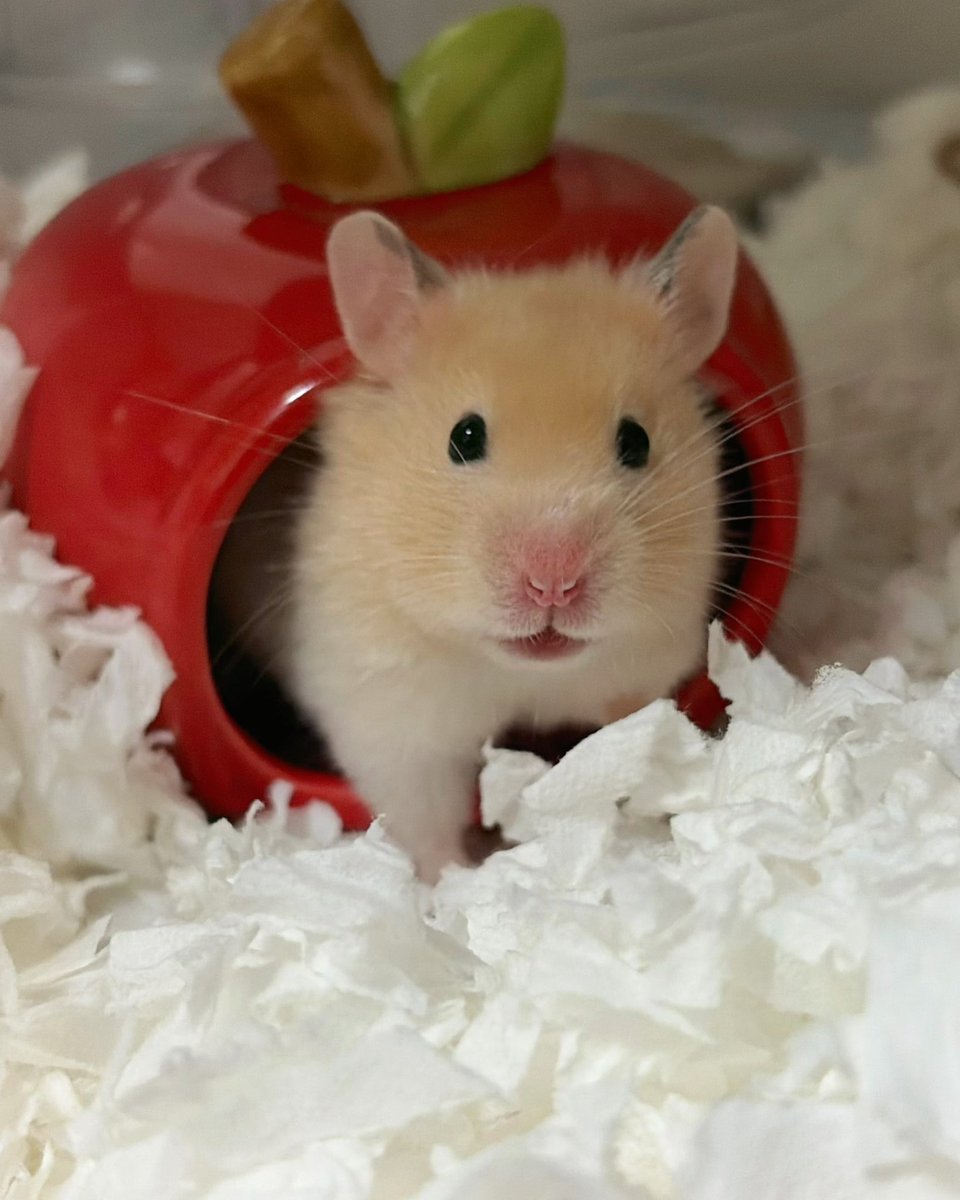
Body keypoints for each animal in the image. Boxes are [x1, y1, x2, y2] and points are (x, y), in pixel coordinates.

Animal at [217, 203, 739, 882]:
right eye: (464, 437)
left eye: (636, 441)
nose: (553, 584)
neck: (512, 667)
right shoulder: (391, 716)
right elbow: (425, 814)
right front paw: (451, 884)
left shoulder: (640, 675)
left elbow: (628, 756)